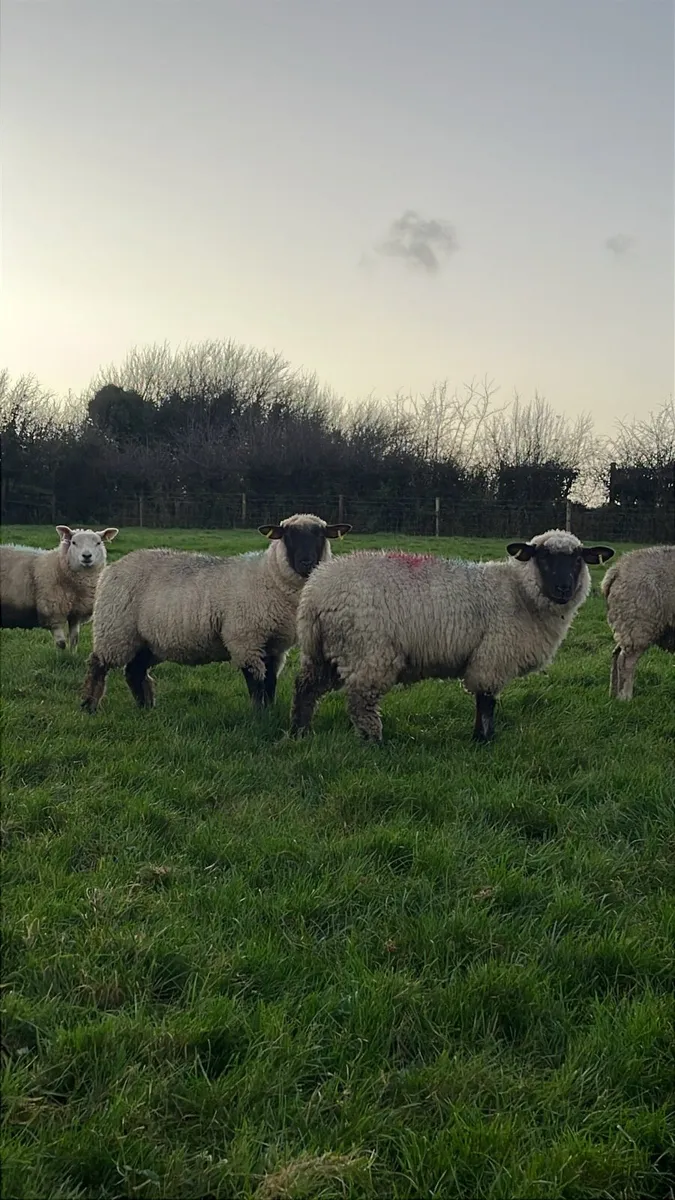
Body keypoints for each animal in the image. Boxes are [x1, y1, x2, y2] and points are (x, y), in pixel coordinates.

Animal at [81, 513, 351, 714]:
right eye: (289, 535)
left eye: (320, 535)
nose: (307, 563)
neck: (269, 577)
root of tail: (112, 569)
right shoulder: (245, 640)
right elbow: (256, 683)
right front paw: (259, 715)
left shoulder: (274, 646)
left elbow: (271, 683)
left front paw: (270, 711)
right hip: (115, 630)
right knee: (98, 665)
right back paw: (89, 705)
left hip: (148, 640)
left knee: (134, 672)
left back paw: (146, 708)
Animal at [289, 529, 614, 744]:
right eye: (544, 558)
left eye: (578, 560)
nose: (563, 588)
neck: (520, 593)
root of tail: (315, 593)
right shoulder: (491, 658)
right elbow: (486, 702)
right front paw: (483, 740)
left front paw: (481, 737)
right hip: (368, 651)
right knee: (360, 701)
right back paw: (374, 742)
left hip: (322, 651)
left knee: (305, 687)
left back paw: (299, 733)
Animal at [601, 544, 675, 700]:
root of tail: (618, 569)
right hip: (639, 624)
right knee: (626, 661)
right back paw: (625, 698)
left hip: (627, 625)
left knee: (615, 655)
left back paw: (613, 694)